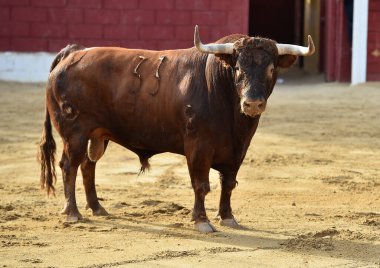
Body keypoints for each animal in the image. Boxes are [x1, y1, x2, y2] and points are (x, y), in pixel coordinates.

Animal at [37, 26, 314, 233]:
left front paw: (228, 217)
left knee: (87, 166)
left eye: (271, 69)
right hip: (75, 133)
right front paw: (202, 221)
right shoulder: (198, 147)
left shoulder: (238, 150)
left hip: (97, 134)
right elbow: (201, 184)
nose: (252, 103)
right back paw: (73, 212)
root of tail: (74, 53)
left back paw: (97, 208)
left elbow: (228, 184)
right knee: (69, 165)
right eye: (237, 68)